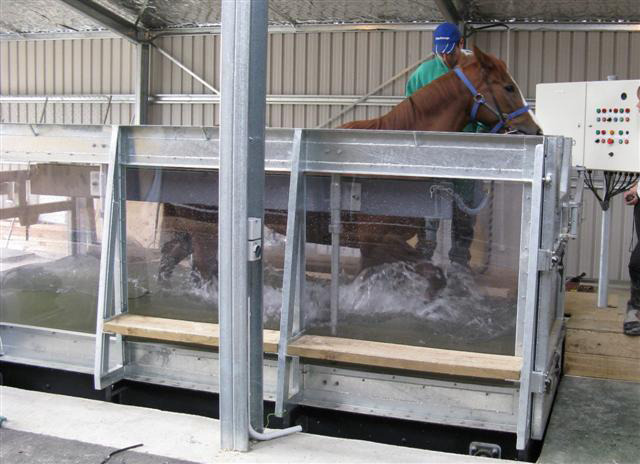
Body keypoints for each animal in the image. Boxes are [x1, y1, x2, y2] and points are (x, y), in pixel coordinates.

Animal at [159, 46, 540, 298]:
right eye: (508, 87)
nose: (534, 130)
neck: (391, 160)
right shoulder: (379, 242)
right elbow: (431, 277)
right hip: (206, 230)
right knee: (203, 269)